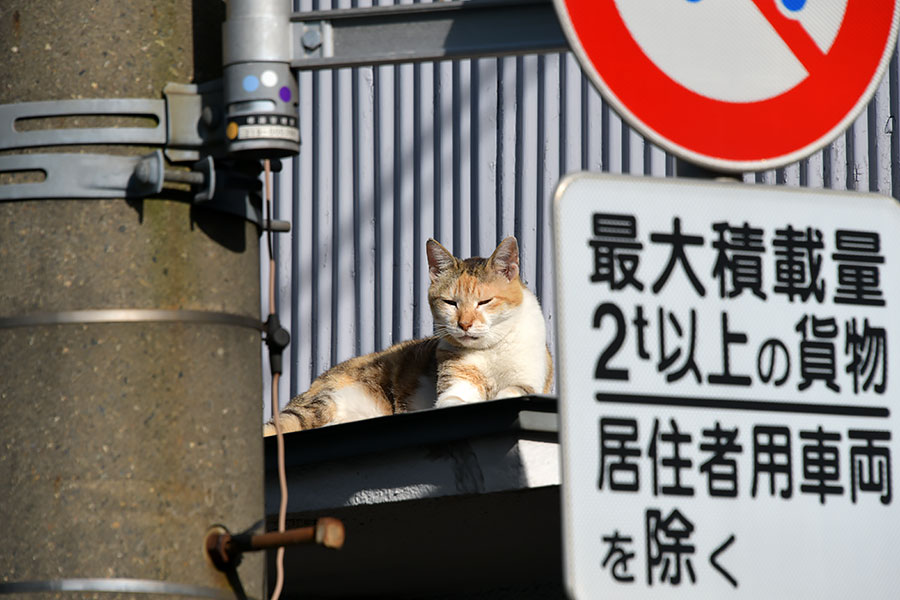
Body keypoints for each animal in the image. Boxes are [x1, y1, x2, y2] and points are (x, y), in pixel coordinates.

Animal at [264, 236, 552, 436]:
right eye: (450, 303)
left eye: (484, 302)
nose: (464, 324)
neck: (489, 351)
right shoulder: (455, 385)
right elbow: (453, 401)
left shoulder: (529, 379)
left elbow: (512, 391)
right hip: (320, 404)